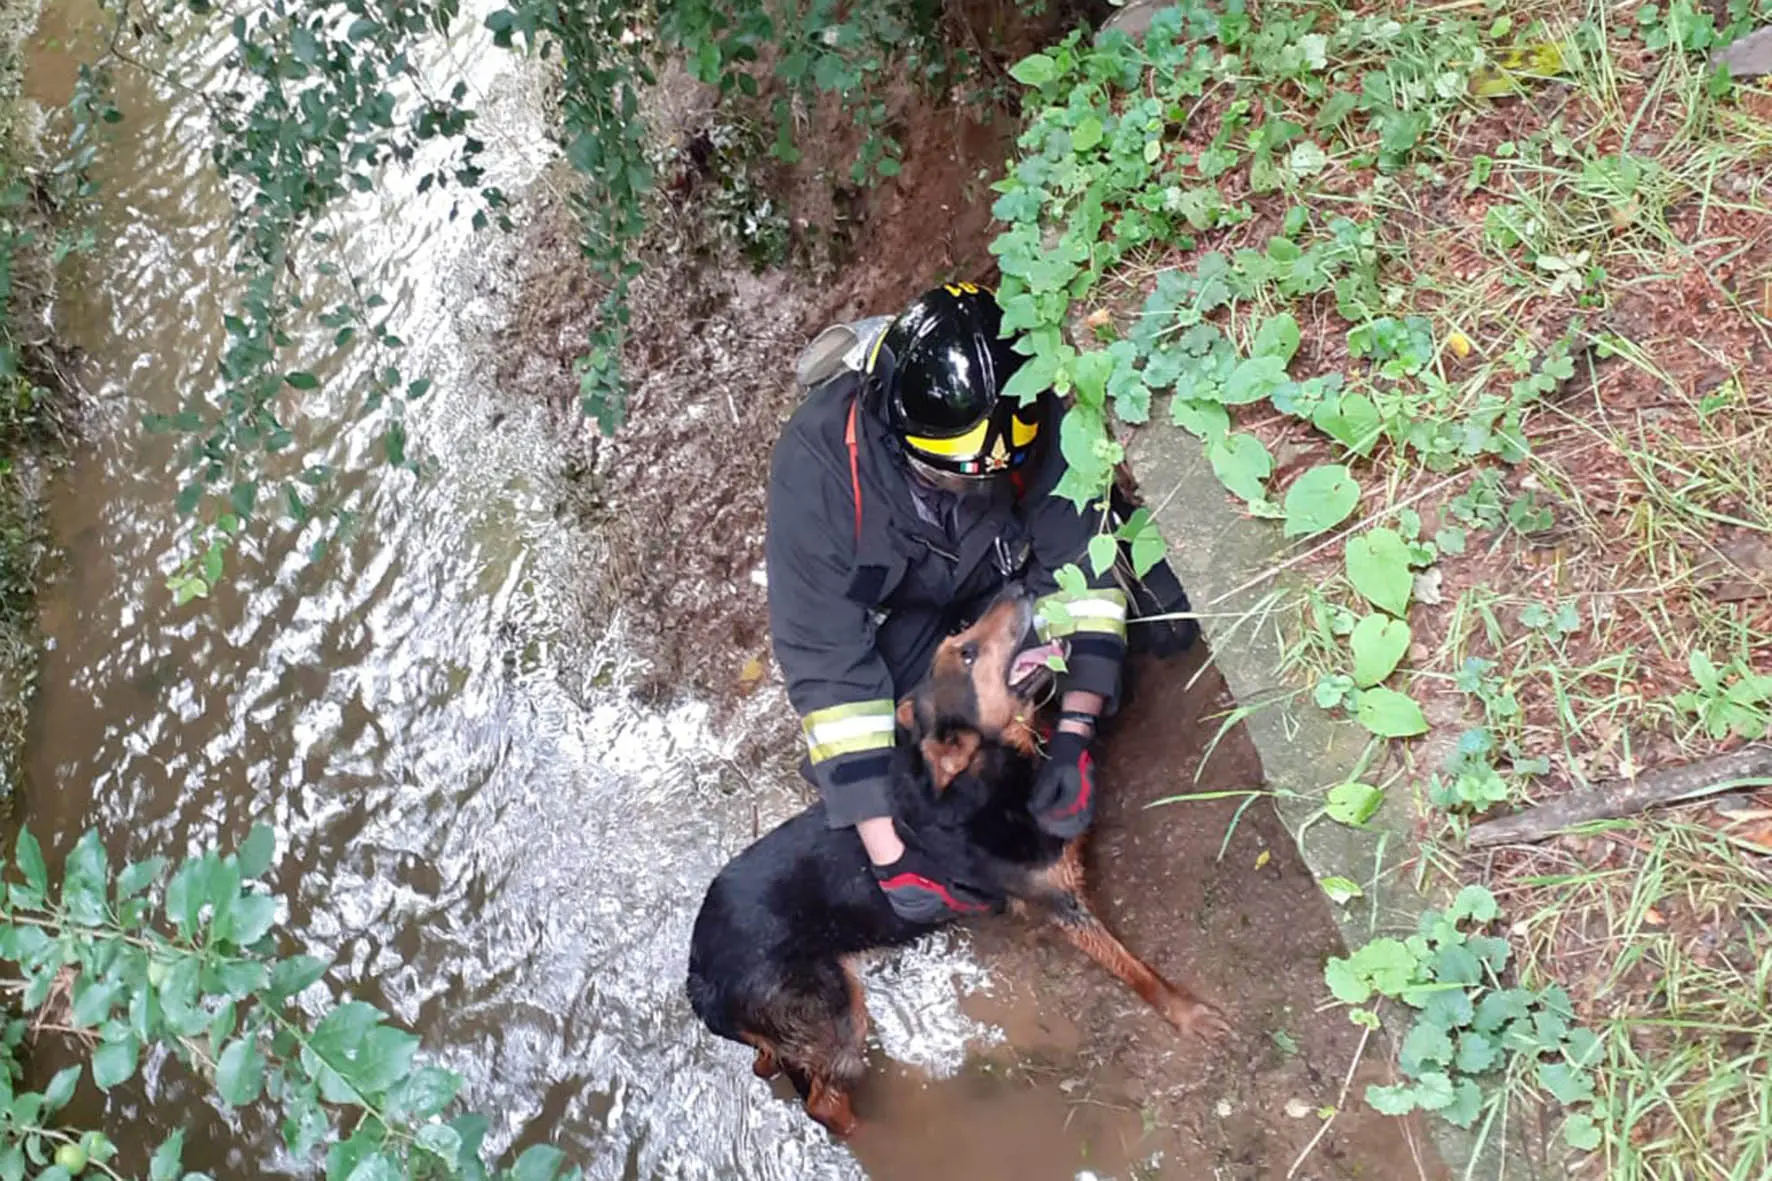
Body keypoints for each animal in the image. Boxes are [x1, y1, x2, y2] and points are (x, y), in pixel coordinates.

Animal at [683, 585, 1226, 1134]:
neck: (987, 775)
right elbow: (1135, 970)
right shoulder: (1059, 904)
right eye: (968, 654)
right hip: (835, 1015)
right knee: (822, 1102)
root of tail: (698, 977)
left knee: (773, 1064)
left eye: (960, 639)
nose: (1017, 586)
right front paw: (1186, 1012)